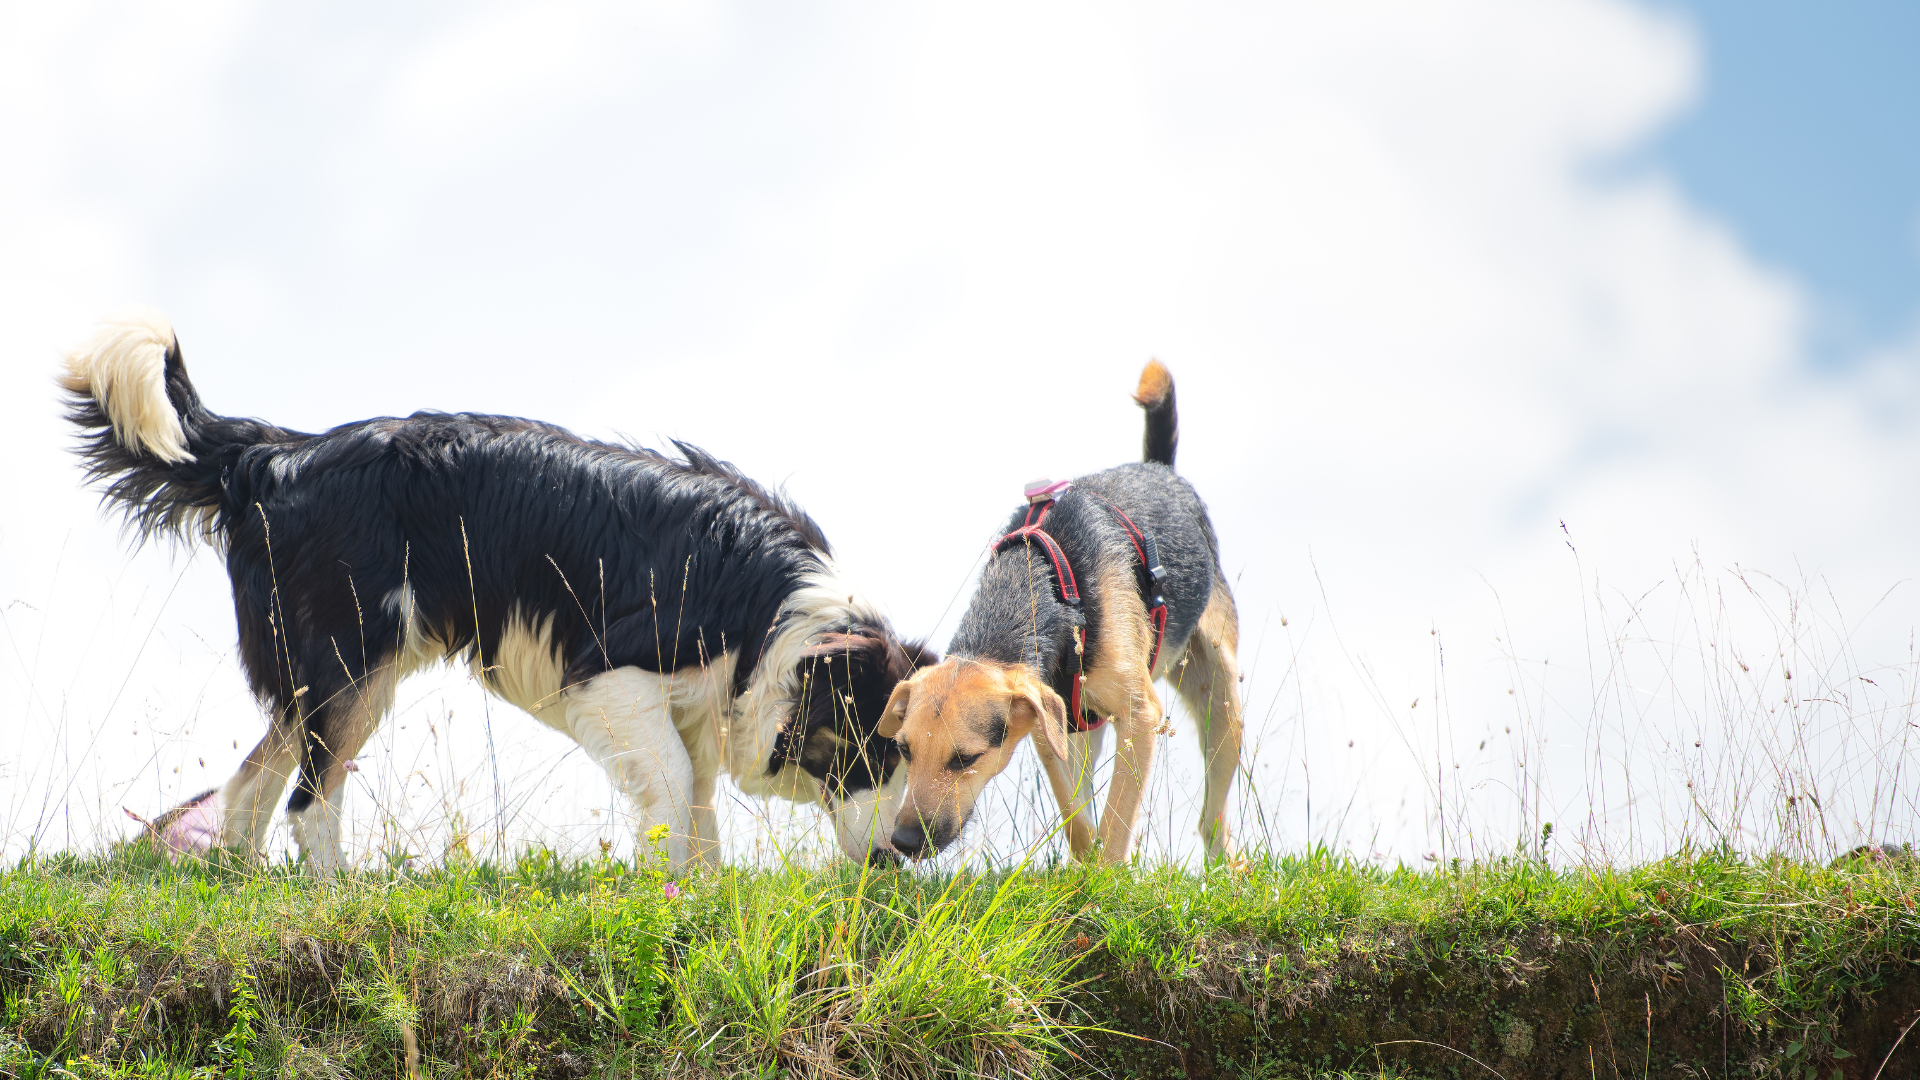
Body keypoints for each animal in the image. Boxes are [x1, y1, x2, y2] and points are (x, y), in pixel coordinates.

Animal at [65, 307, 921, 868]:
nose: (901, 853)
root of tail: (276, 457)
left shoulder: (695, 712)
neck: (775, 614)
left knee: (252, 788)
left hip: (329, 676)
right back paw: (336, 901)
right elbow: (677, 800)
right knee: (309, 803)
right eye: (874, 751)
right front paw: (666, 905)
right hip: (350, 665)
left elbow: (698, 820)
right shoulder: (610, 675)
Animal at [875, 365, 1236, 860]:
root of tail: (1160, 470)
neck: (1045, 586)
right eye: (905, 750)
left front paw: (1106, 874)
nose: (904, 841)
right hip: (1087, 726)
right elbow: (1076, 816)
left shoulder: (1140, 718)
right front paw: (1084, 862)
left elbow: (1116, 822)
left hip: (1222, 698)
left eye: (965, 758)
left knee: (1212, 819)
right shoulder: (1050, 726)